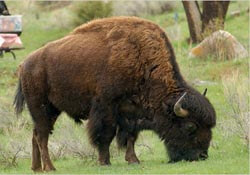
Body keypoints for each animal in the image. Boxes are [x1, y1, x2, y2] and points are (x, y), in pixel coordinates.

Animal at [14, 16, 215, 171]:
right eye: (190, 126)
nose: (202, 156)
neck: (141, 60)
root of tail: (24, 64)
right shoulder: (107, 107)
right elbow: (106, 134)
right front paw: (105, 162)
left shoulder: (132, 111)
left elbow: (130, 136)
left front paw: (133, 160)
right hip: (41, 108)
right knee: (42, 136)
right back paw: (50, 167)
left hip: (52, 110)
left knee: (36, 134)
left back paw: (36, 168)